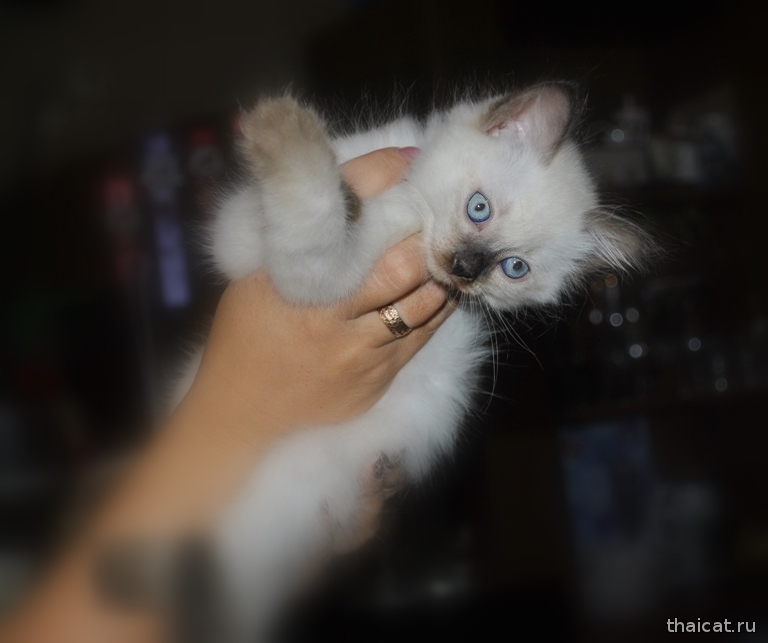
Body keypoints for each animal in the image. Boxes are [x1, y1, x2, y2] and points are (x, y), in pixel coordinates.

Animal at [183, 82, 653, 638]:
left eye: (513, 268)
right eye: (478, 209)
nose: (464, 268)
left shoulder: (321, 277)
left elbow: (314, 226)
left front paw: (285, 130)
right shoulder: (239, 233)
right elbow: (318, 194)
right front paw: (302, 145)